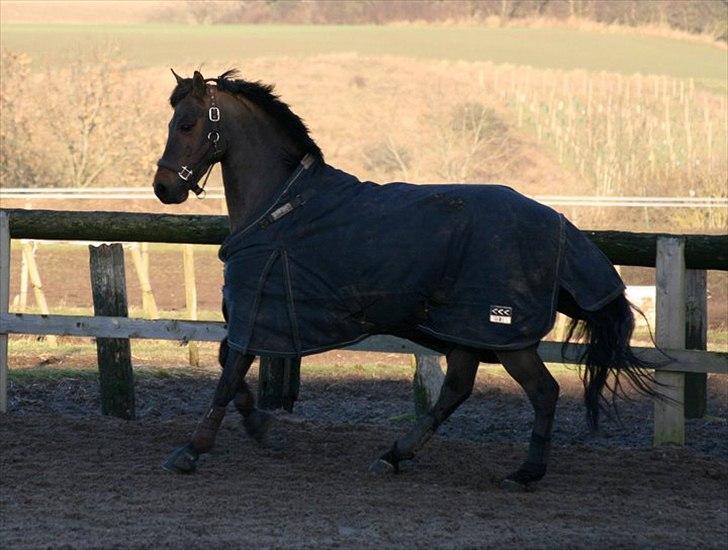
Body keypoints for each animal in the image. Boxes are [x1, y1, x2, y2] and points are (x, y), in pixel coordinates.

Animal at [151, 70, 656, 492]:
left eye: (188, 124)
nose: (164, 188)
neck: (279, 206)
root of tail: (560, 224)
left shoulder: (255, 311)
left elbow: (228, 372)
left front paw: (192, 449)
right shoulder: (260, 319)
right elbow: (227, 367)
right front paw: (262, 429)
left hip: (504, 335)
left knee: (543, 392)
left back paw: (525, 472)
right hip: (466, 332)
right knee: (457, 390)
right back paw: (395, 455)